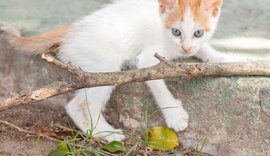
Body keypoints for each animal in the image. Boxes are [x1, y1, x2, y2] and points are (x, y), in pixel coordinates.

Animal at [6, 0, 234, 141]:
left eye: (198, 33)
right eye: (176, 31)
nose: (185, 48)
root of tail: (71, 31)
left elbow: (203, 48)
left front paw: (219, 57)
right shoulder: (148, 59)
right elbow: (157, 84)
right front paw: (174, 115)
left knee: (75, 104)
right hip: (104, 67)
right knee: (80, 105)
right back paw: (105, 133)